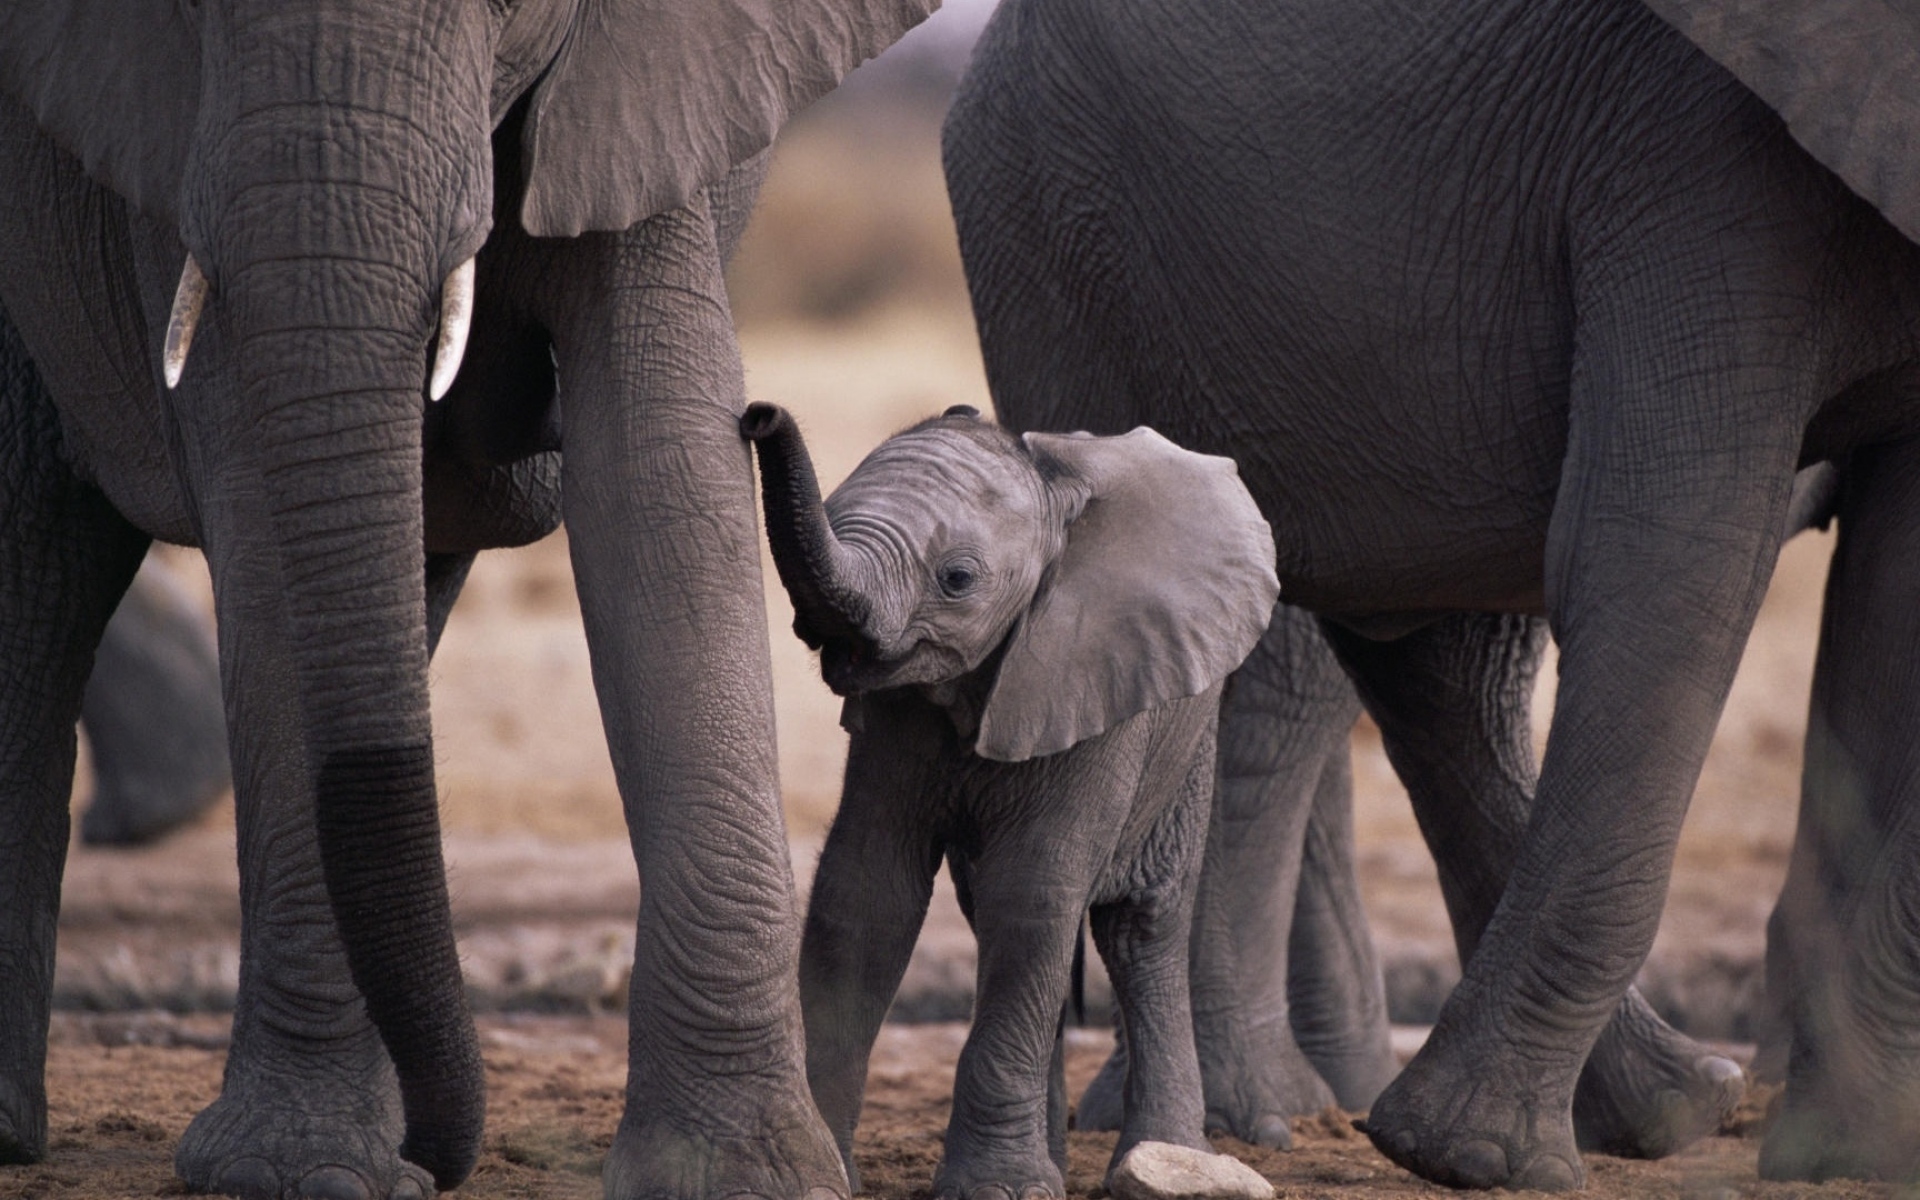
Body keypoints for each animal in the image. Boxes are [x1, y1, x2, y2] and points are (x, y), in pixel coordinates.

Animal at [739, 401, 1280, 1199]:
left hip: (1187, 737)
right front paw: (829, 1173)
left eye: (957, 579)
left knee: (1139, 927)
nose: (758, 415)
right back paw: (1053, 1163)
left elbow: (1032, 893)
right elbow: (865, 896)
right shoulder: (895, 718)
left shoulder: (1091, 677)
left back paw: (1166, 1157)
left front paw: (997, 1189)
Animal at [945, 0, 1920, 1187]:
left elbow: (1890, 600)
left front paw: (1851, 1140)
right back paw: (1261, 1127)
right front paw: (1471, 1160)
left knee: (1425, 654)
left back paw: (1674, 1107)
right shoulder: (1696, 163)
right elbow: (1668, 557)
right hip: (1057, 236)